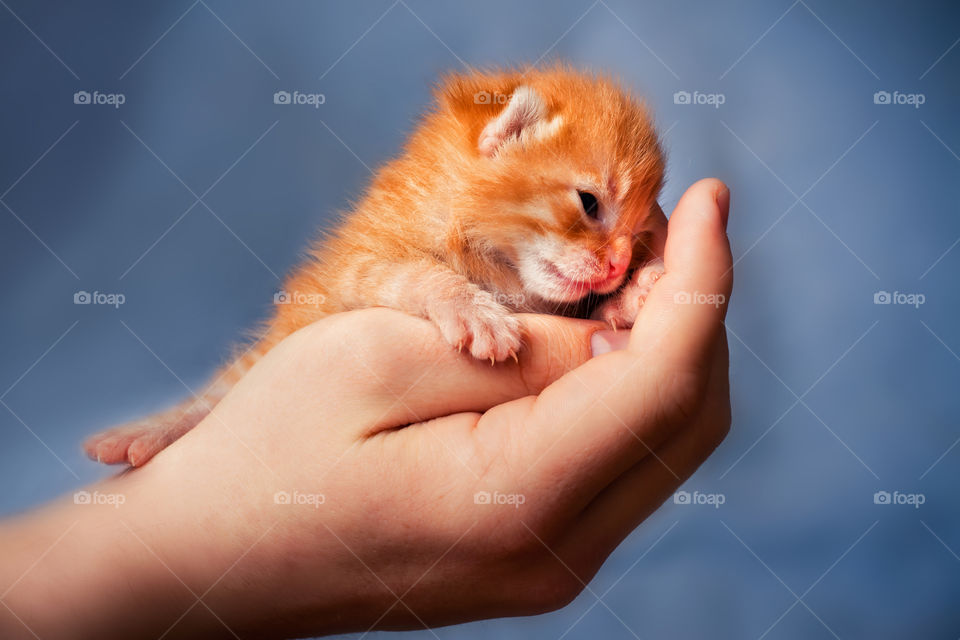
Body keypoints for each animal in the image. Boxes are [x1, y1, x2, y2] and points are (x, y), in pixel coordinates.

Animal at [86, 66, 664, 464]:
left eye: (636, 236)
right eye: (588, 203)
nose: (618, 265)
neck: (494, 261)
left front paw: (630, 297)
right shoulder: (353, 271)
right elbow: (414, 272)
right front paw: (472, 310)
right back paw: (155, 428)